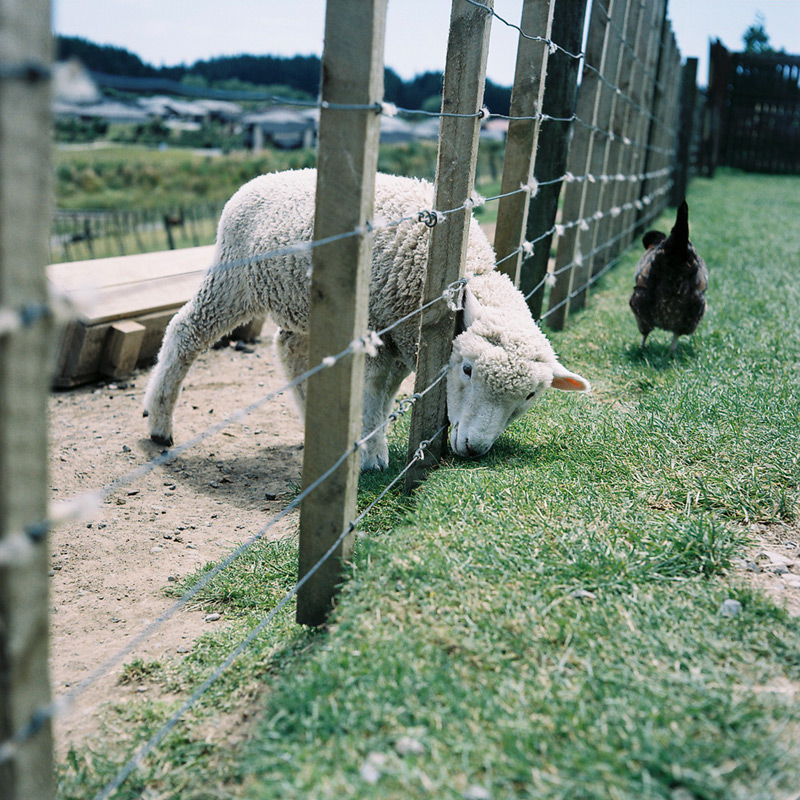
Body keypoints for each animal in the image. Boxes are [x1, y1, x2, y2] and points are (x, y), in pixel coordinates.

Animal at [144, 169, 592, 468]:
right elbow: (375, 391)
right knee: (185, 330)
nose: (473, 449)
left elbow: (388, 391)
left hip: (301, 302)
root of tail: (262, 179)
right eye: (466, 369)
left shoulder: (401, 336)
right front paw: (372, 456)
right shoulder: (382, 330)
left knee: (289, 347)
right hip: (233, 277)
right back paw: (159, 423)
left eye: (529, 397)